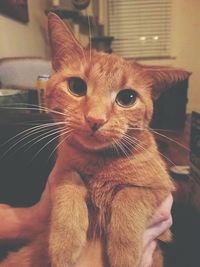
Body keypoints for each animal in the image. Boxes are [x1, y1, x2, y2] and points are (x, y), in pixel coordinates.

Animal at [0, 12, 191, 267]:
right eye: (76, 86)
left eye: (127, 98)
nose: (95, 119)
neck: (100, 162)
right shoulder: (61, 172)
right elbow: (69, 183)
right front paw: (64, 241)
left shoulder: (160, 192)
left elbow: (131, 194)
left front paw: (125, 252)